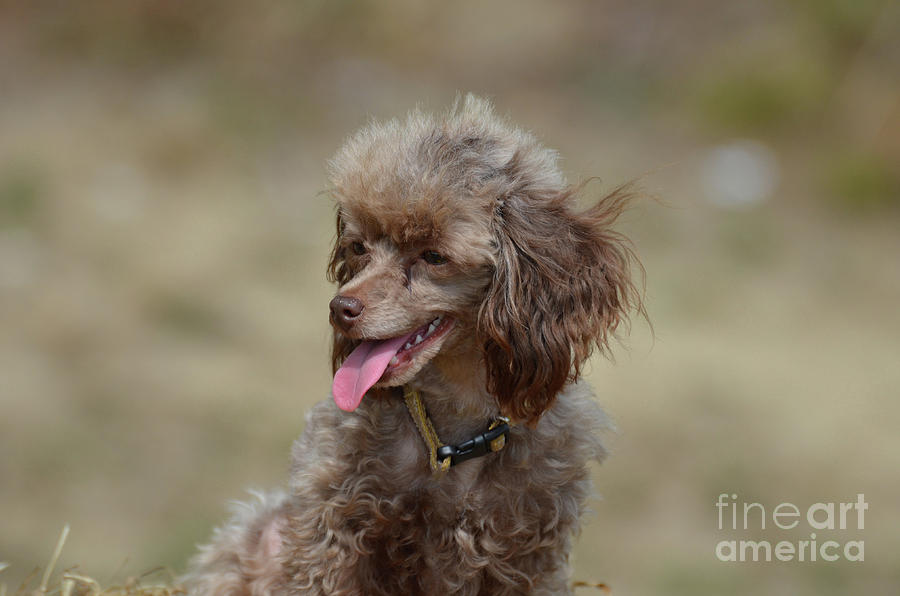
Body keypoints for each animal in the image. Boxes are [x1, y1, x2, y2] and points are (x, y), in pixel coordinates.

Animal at [185, 95, 640, 592]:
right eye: (359, 247)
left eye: (434, 256)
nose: (340, 308)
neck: (456, 434)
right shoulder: (330, 527)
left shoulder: (531, 554)